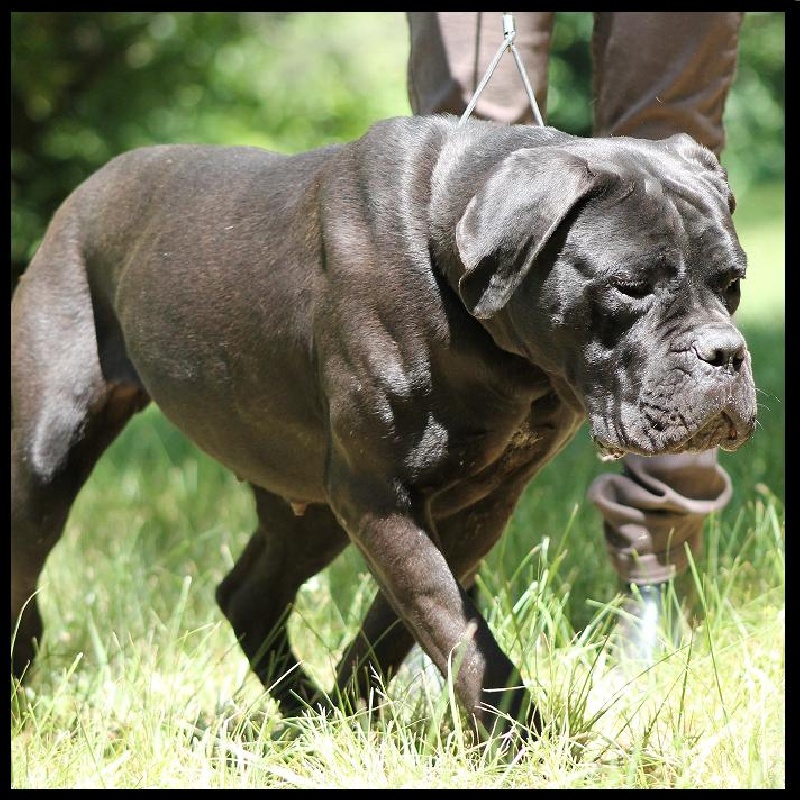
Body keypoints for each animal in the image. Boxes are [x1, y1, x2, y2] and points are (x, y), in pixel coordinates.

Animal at [9, 117, 756, 744]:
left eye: (733, 283)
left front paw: (358, 714)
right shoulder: (379, 493)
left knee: (249, 596)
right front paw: (519, 741)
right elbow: (448, 615)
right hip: (44, 458)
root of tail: (78, 197)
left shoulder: (475, 504)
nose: (725, 353)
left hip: (308, 503)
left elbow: (406, 622)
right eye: (630, 286)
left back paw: (308, 718)